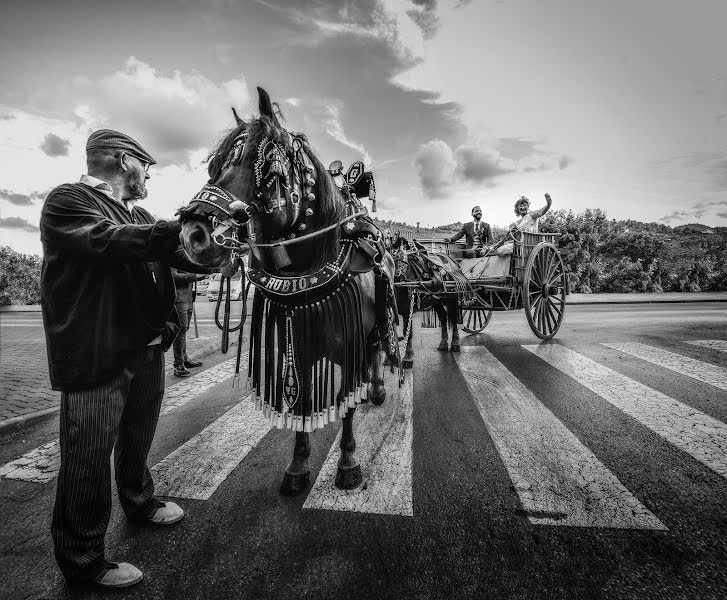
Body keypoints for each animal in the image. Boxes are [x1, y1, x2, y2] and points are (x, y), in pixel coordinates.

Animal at [180, 85, 400, 496]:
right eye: (215, 165)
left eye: (266, 166)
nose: (194, 233)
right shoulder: (296, 347)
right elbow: (300, 405)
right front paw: (298, 467)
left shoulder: (350, 347)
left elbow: (345, 405)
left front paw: (348, 464)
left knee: (379, 349)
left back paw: (377, 389)